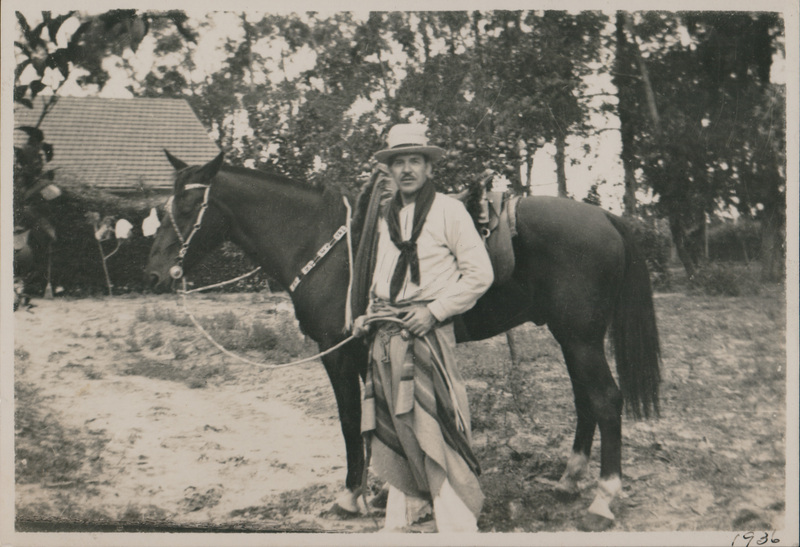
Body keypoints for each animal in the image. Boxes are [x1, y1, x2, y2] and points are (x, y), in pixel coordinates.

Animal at [147, 151, 660, 532]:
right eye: (165, 206)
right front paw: (383, 493)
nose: (152, 274)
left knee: (605, 399)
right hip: (571, 336)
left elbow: (350, 422)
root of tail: (606, 218)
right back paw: (569, 481)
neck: (324, 246)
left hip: (581, 337)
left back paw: (603, 500)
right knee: (585, 400)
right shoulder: (362, 352)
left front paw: (350, 497)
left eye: (188, 208)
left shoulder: (338, 355)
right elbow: (374, 424)